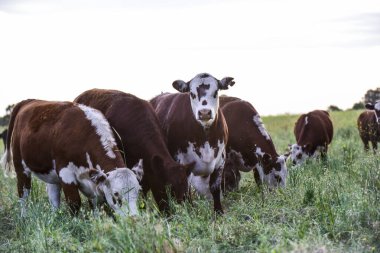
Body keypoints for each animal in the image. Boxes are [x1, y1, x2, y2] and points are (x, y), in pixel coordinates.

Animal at [0, 100, 143, 216]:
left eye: (138, 191)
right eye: (116, 194)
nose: (134, 218)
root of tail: (28, 101)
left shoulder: (94, 183)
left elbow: (96, 206)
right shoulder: (65, 173)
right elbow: (74, 203)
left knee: (53, 195)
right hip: (20, 166)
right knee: (23, 193)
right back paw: (24, 216)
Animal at [149, 72, 235, 213]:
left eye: (216, 91)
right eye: (192, 93)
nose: (204, 112)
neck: (205, 136)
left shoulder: (220, 160)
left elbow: (215, 188)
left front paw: (218, 212)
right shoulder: (181, 163)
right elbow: (186, 191)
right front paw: (190, 211)